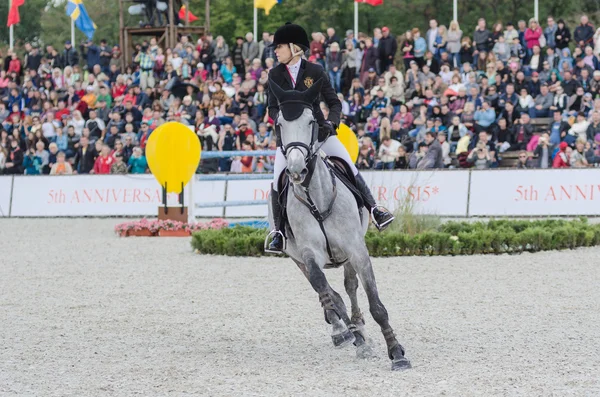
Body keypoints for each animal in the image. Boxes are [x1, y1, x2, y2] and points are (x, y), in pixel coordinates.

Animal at [268, 78, 412, 372]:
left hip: (348, 254)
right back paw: (343, 331)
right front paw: (358, 341)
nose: (296, 170)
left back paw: (357, 324)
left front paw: (397, 353)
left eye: (312, 121)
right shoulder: (309, 256)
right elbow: (325, 292)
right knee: (328, 294)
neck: (317, 198)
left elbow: (375, 305)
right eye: (279, 124)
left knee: (350, 286)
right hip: (295, 257)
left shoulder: (356, 249)